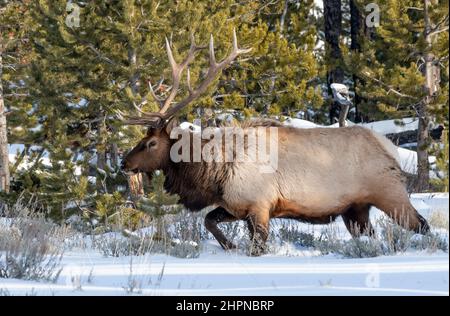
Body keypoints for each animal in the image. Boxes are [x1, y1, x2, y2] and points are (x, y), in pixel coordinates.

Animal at [118, 30, 428, 256]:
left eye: (150, 143)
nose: (124, 163)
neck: (213, 173)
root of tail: (389, 148)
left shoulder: (259, 205)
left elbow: (257, 247)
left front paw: (236, 248)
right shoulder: (237, 206)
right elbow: (209, 220)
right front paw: (229, 246)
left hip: (389, 193)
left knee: (421, 225)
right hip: (355, 210)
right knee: (373, 234)